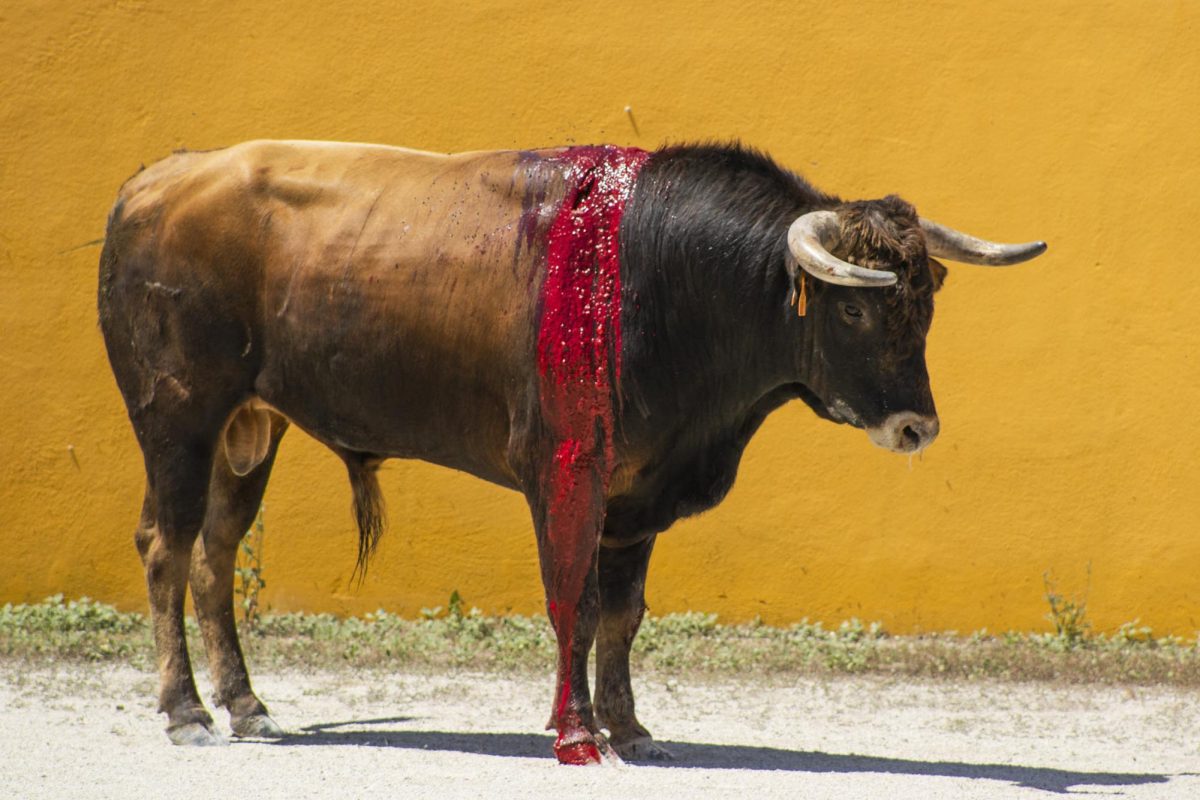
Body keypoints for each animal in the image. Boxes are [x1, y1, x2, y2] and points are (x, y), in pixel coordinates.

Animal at [98, 140, 1046, 767]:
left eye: (925, 305)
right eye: (854, 308)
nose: (917, 427)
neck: (660, 274)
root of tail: (155, 180)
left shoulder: (637, 496)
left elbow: (622, 615)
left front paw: (631, 729)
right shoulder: (565, 477)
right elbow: (577, 608)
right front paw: (581, 733)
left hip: (251, 428)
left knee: (217, 554)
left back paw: (247, 706)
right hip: (177, 416)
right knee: (166, 547)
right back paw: (185, 711)